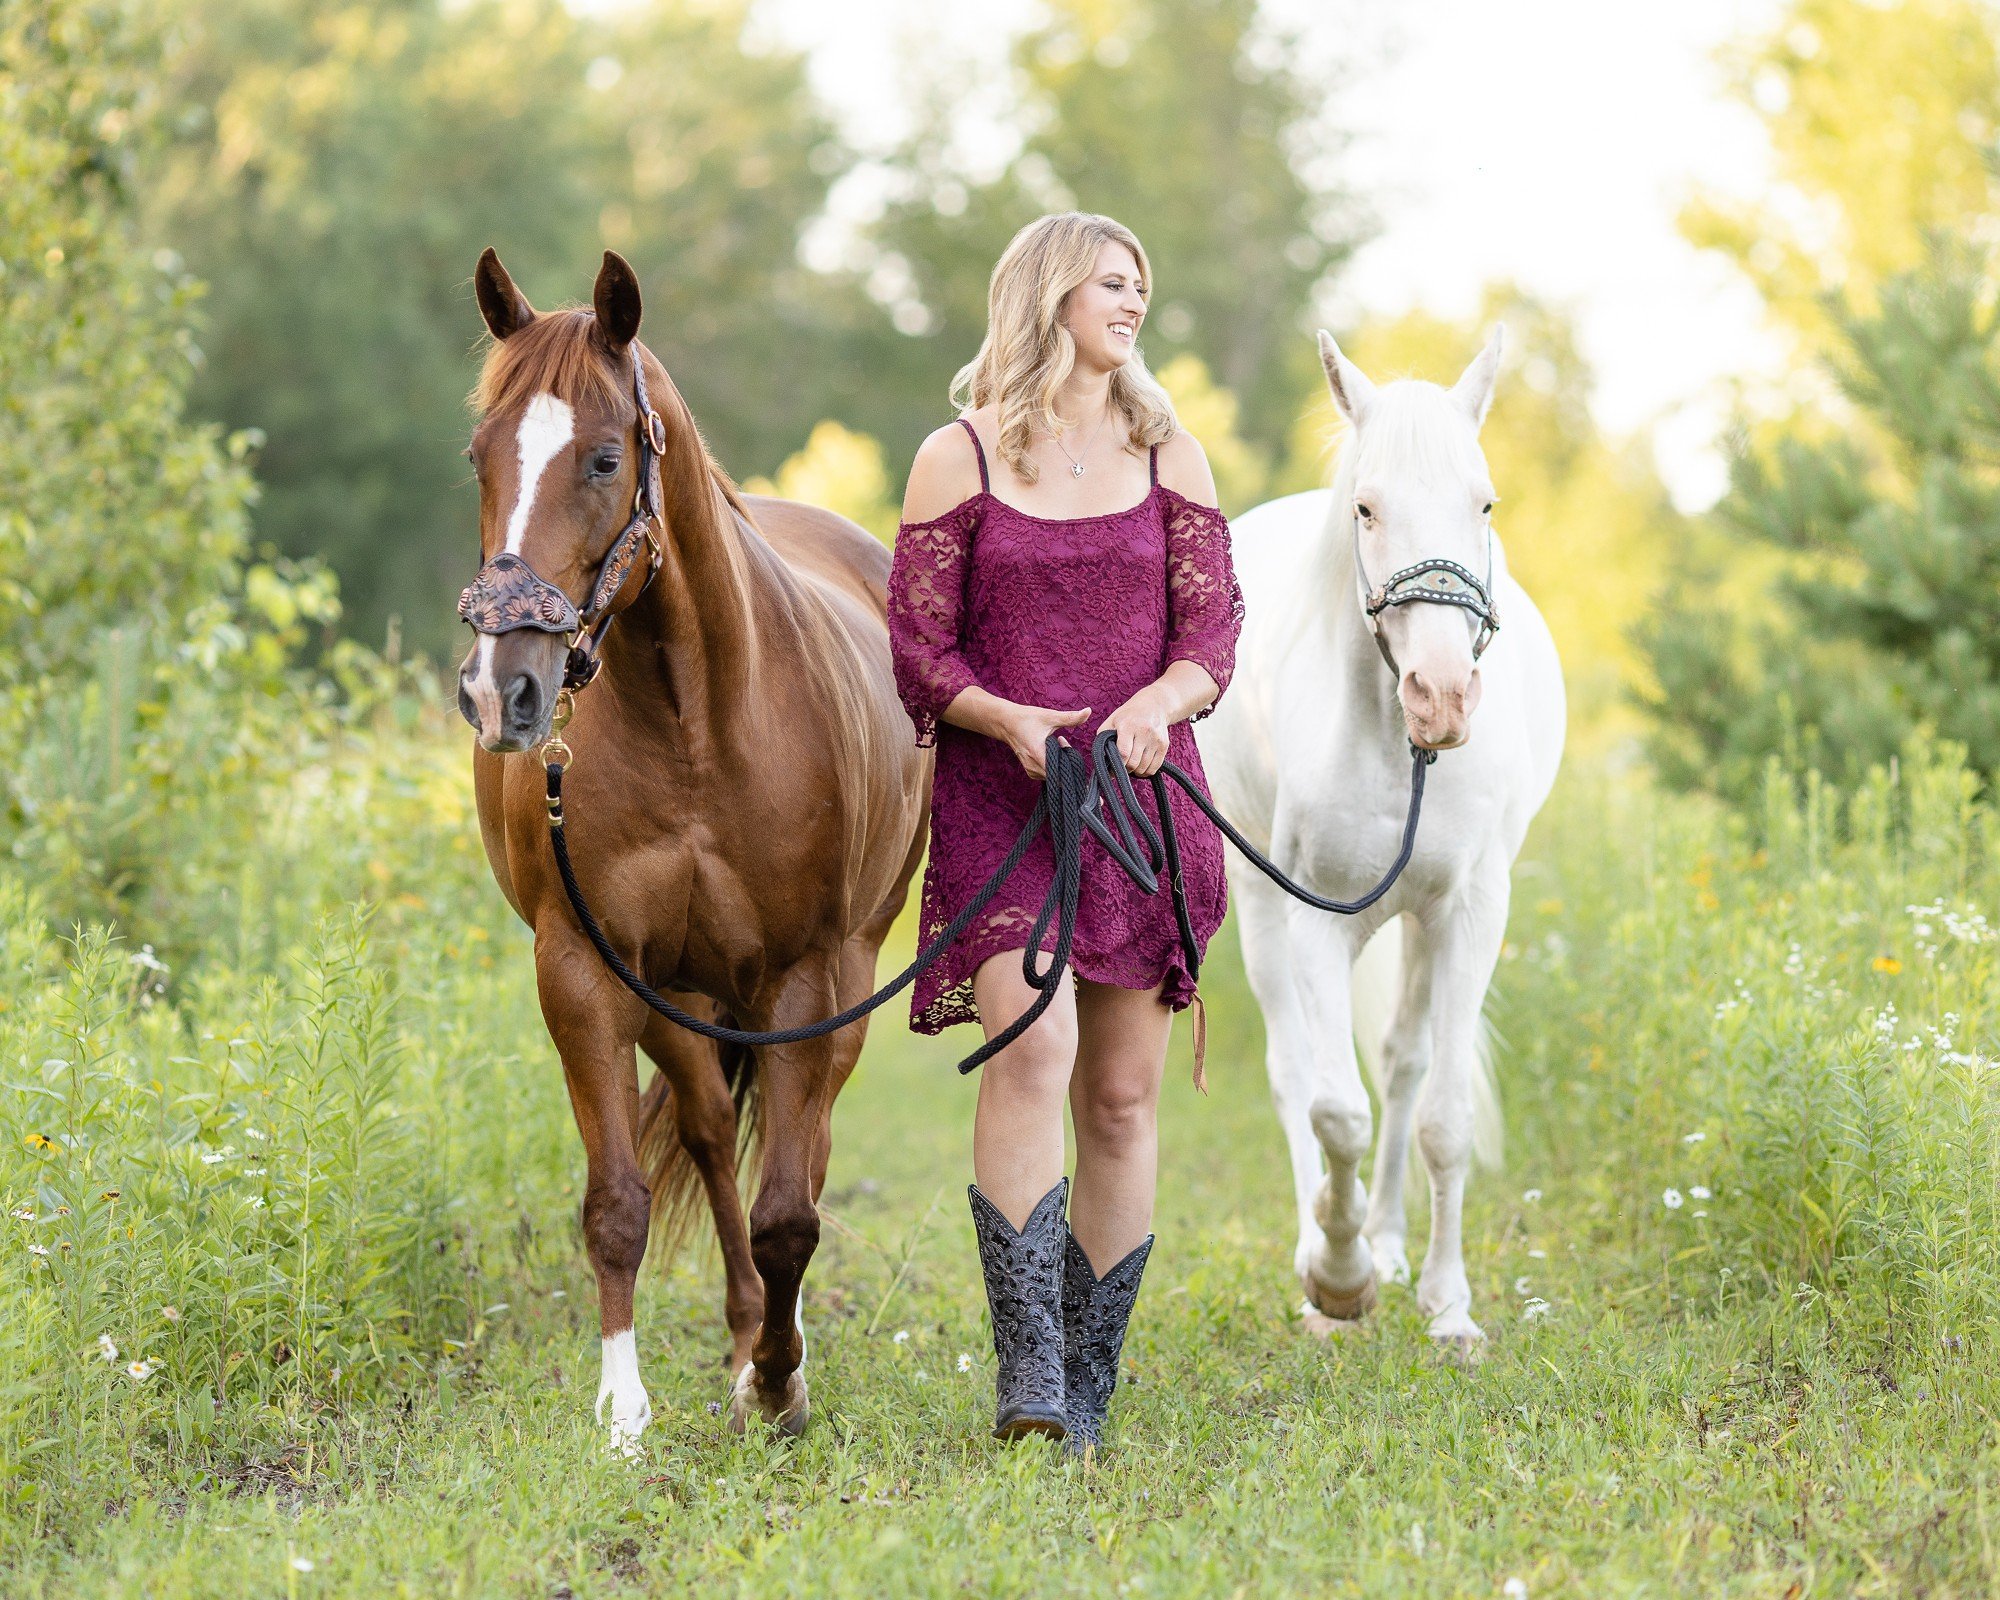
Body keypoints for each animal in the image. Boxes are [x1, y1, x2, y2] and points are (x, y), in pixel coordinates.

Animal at [458, 244, 928, 1440]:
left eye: (603, 456)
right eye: (480, 456)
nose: (500, 690)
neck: (696, 725)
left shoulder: (806, 975)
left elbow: (791, 1210)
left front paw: (782, 1382)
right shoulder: (585, 972)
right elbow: (618, 1201)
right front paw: (623, 1410)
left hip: (838, 976)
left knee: (806, 1148)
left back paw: (776, 1343)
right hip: (683, 993)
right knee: (716, 1129)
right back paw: (743, 1327)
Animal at [1200, 332, 1560, 1344]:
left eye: (1485, 502)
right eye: (1365, 507)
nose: (1441, 697)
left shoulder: (1471, 914)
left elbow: (1440, 1115)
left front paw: (1447, 1305)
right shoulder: (1317, 919)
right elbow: (1334, 1111)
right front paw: (1338, 1276)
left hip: (1417, 927)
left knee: (1403, 1066)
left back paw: (1395, 1247)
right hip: (1265, 909)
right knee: (1296, 1075)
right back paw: (1325, 1253)